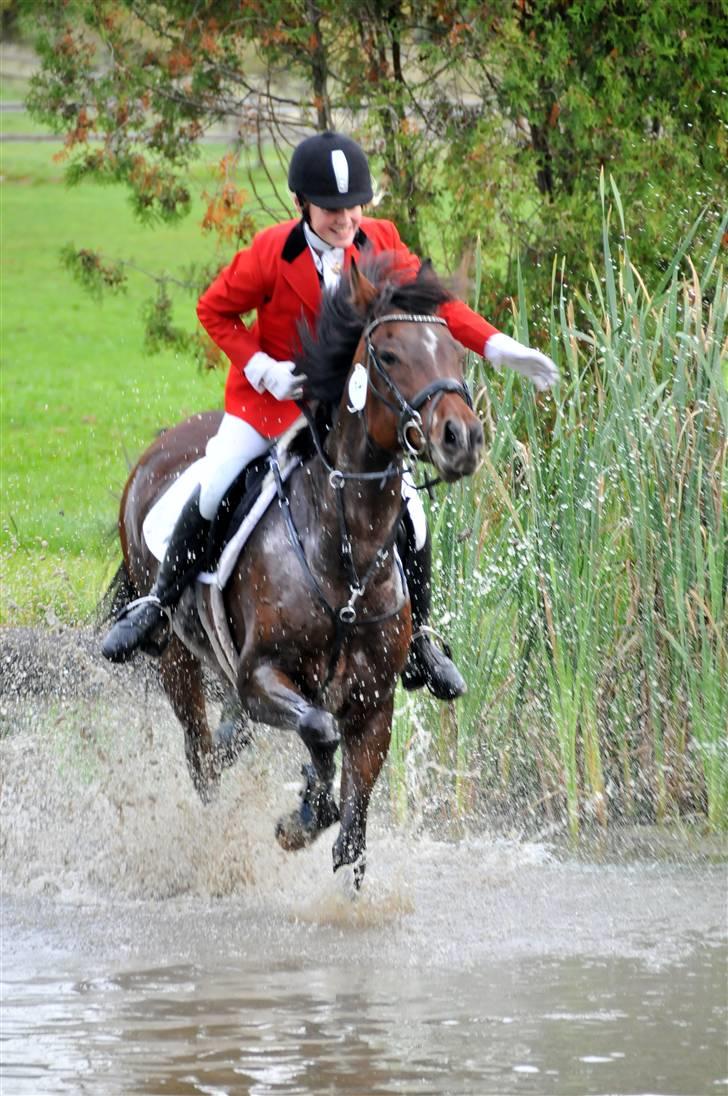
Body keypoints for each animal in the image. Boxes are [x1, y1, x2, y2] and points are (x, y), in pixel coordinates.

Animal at [112, 258, 482, 889]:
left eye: (455, 352)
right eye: (388, 355)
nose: (462, 438)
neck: (344, 557)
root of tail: (162, 446)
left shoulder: (374, 704)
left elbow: (352, 834)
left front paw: (316, 814)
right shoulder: (261, 677)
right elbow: (318, 730)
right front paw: (303, 816)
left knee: (228, 743)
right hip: (178, 659)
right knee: (201, 756)